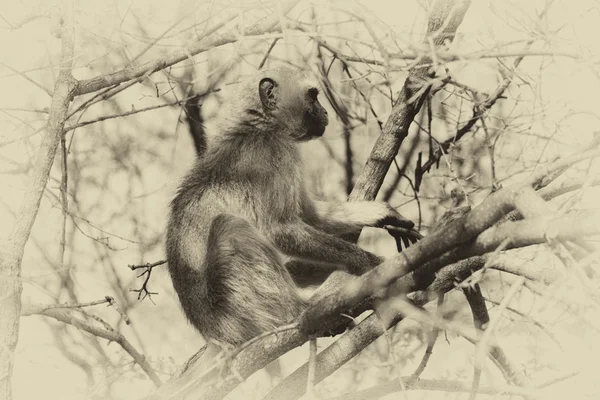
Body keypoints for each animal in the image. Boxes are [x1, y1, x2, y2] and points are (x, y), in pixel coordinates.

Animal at [164, 65, 418, 346]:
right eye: (313, 97)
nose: (325, 113)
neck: (257, 127)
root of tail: (214, 333)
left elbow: (310, 216)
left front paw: (382, 215)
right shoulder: (273, 152)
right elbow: (280, 230)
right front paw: (370, 263)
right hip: (243, 312)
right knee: (230, 227)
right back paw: (301, 312)